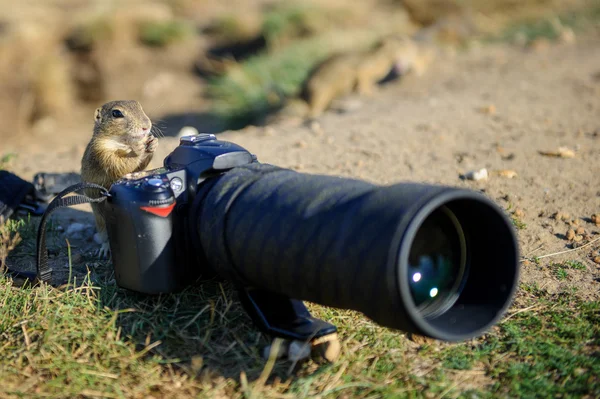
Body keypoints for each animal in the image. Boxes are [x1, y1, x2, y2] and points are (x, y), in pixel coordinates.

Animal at [81, 100, 158, 260]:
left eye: (139, 106)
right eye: (117, 113)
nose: (146, 126)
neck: (124, 143)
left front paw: (153, 142)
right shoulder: (102, 154)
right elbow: (121, 164)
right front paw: (139, 149)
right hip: (101, 222)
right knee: (105, 237)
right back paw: (104, 250)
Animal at [304, 34, 432, 117]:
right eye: (401, 41)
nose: (413, 43)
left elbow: (370, 83)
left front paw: (374, 89)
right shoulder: (362, 69)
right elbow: (363, 80)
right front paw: (368, 92)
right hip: (323, 92)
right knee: (313, 109)